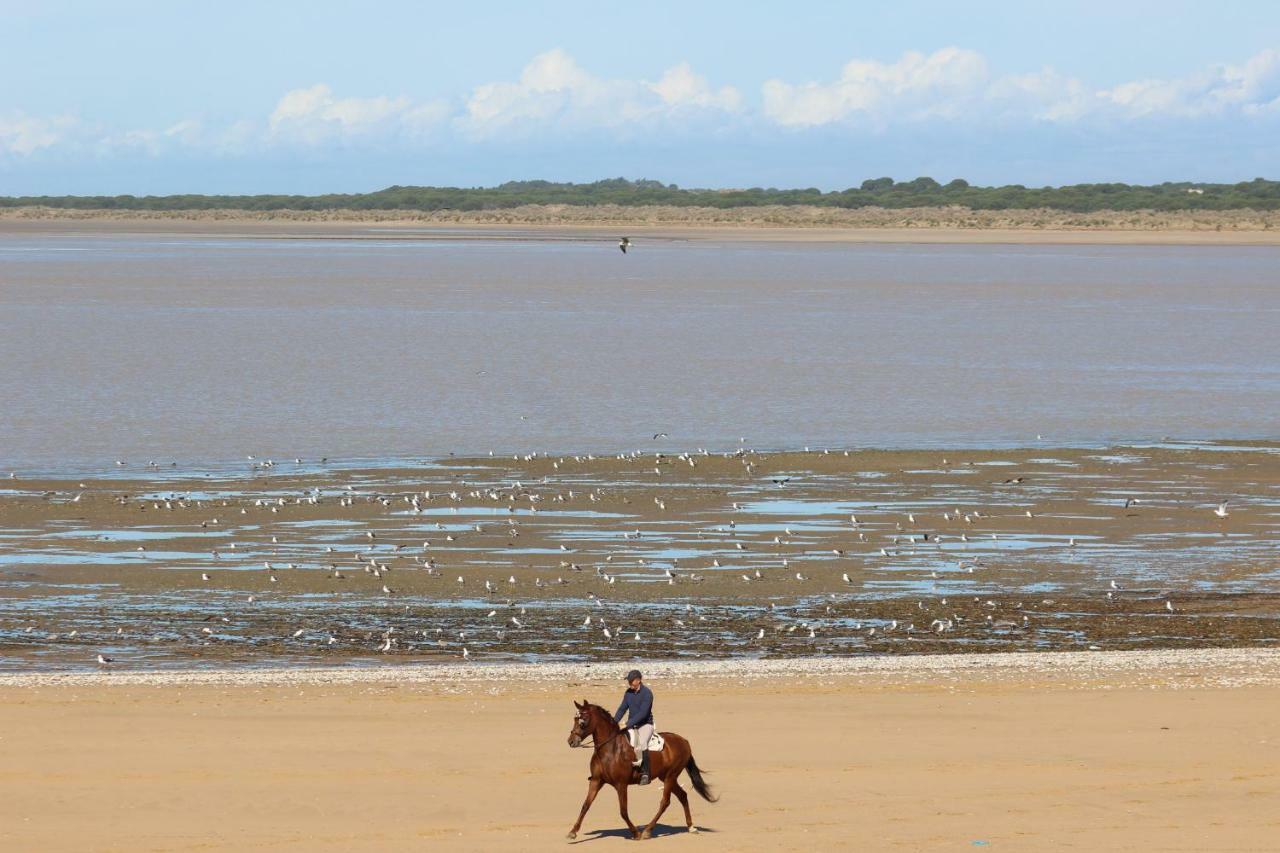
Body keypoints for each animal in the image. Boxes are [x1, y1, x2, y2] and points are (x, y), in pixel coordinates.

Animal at [565, 696, 716, 835]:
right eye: (574, 719)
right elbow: (585, 805)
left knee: (665, 802)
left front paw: (635, 833)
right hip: (666, 777)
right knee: (682, 796)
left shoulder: (621, 784)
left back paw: (647, 831)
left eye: (583, 721)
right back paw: (691, 827)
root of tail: (684, 741)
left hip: (670, 777)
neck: (610, 749)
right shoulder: (596, 781)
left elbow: (623, 811)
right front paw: (573, 831)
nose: (571, 741)